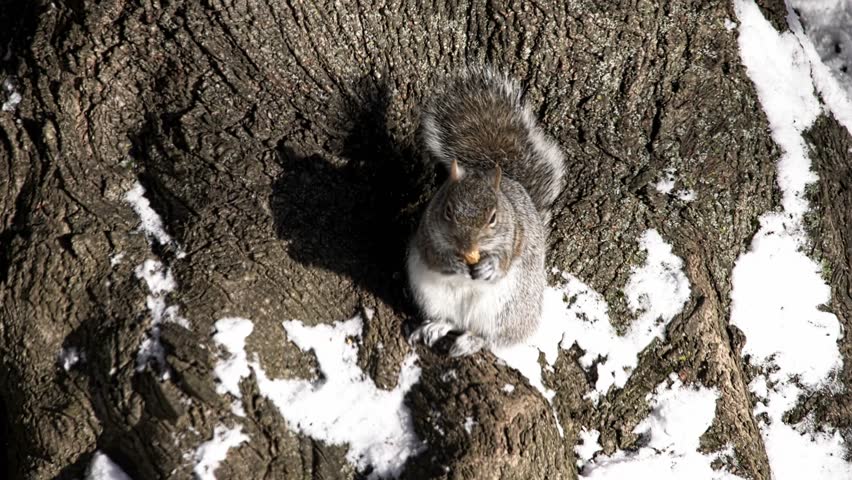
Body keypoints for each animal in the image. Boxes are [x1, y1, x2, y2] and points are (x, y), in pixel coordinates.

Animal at [407, 68, 566, 356]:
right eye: (448, 211)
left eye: (493, 217)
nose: (466, 246)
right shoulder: (426, 231)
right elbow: (433, 255)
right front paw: (452, 262)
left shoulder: (516, 236)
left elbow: (504, 260)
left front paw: (491, 267)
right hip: (431, 296)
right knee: (451, 321)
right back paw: (436, 326)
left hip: (507, 310)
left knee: (492, 337)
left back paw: (472, 340)